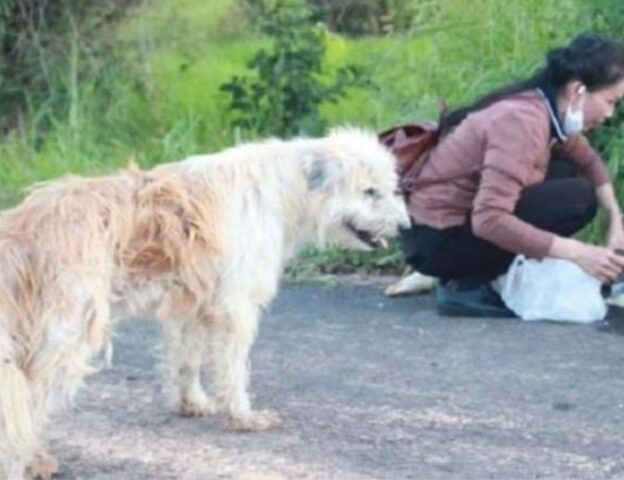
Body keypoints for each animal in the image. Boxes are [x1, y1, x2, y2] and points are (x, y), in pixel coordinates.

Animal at [0, 126, 410, 476]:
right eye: (369, 192)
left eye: (389, 188)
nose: (407, 227)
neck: (283, 189)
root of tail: (24, 227)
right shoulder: (236, 308)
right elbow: (233, 369)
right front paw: (242, 416)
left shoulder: (192, 306)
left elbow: (188, 361)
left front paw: (191, 403)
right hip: (67, 338)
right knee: (29, 402)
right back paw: (31, 460)